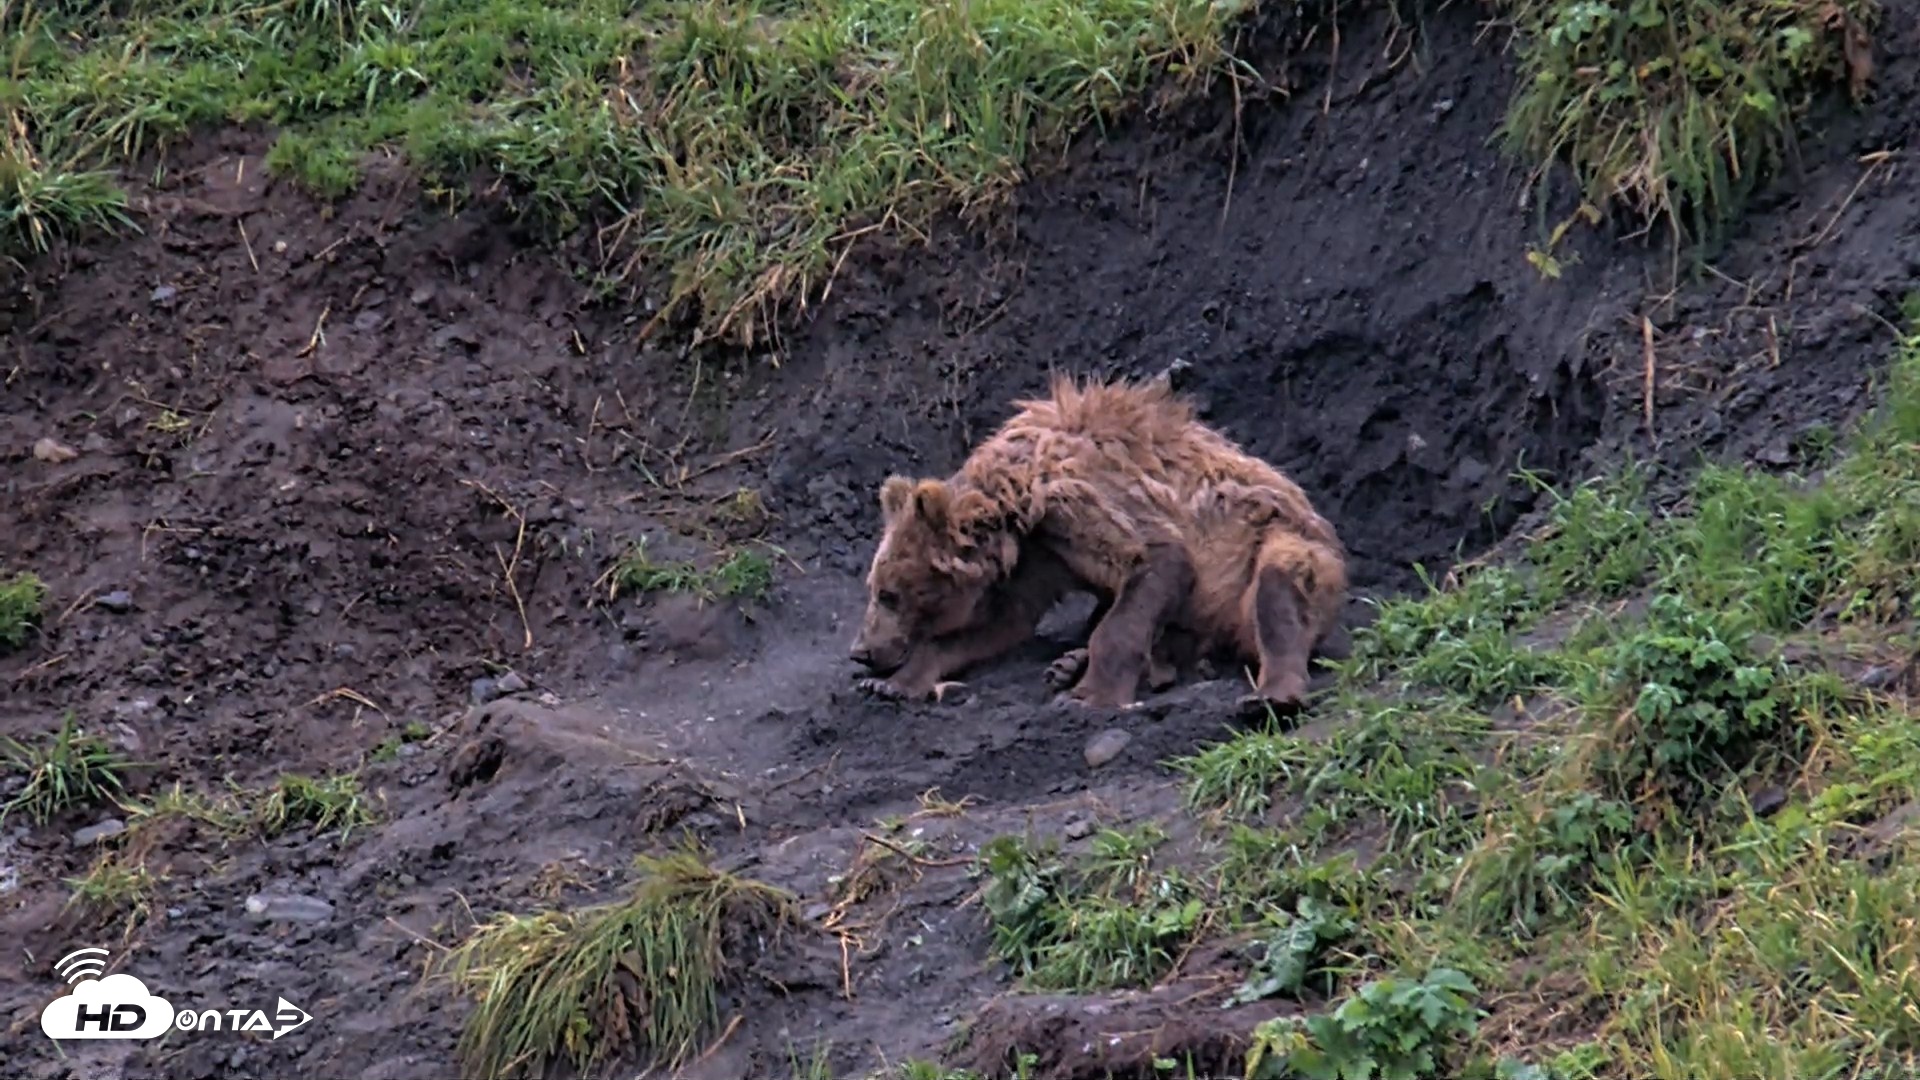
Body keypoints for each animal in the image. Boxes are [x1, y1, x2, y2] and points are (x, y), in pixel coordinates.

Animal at [848, 372, 1349, 715]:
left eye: (889, 594)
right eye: (875, 587)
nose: (861, 651)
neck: (1019, 506)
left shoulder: (1084, 502)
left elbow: (1154, 565)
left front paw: (1090, 694)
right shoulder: (1039, 559)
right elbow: (999, 623)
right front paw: (896, 682)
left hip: (1277, 543)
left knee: (1278, 589)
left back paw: (1270, 694)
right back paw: (1077, 662)